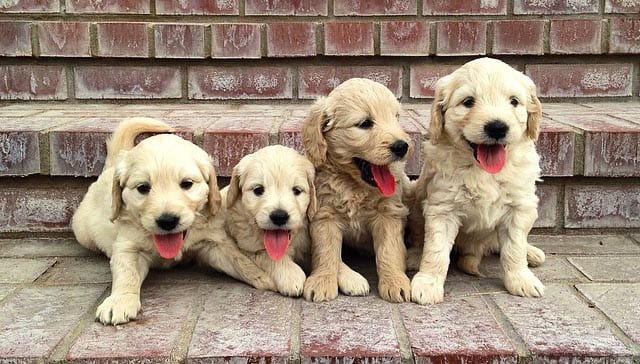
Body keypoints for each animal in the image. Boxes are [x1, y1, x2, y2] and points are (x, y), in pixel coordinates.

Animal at [72, 118, 272, 326]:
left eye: (187, 184)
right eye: (143, 188)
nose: (167, 220)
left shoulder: (212, 242)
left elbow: (238, 260)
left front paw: (264, 277)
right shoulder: (128, 245)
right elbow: (127, 273)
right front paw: (120, 301)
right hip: (83, 232)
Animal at [302, 78, 412, 302]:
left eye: (396, 118)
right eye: (364, 124)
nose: (402, 146)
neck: (354, 186)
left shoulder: (389, 213)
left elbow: (389, 251)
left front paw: (395, 281)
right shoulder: (325, 214)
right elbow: (325, 251)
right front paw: (322, 280)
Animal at [408, 57, 548, 304]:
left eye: (514, 101)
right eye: (468, 102)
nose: (497, 127)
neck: (484, 171)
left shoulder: (519, 207)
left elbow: (514, 248)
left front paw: (521, 279)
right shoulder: (442, 208)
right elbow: (436, 250)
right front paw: (427, 282)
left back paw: (531, 252)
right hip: (416, 199)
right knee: (418, 235)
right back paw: (414, 256)